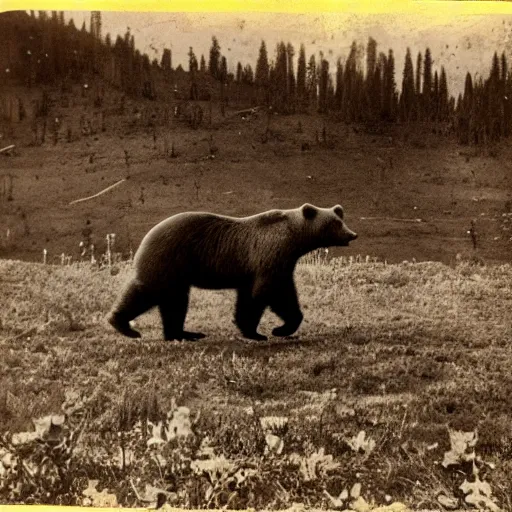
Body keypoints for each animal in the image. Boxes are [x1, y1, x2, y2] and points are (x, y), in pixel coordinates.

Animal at [107, 202, 356, 342]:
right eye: (334, 223)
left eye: (340, 219)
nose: (352, 234)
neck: (293, 239)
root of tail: (147, 235)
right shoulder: (269, 257)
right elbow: (268, 293)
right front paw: (266, 331)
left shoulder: (272, 265)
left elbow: (268, 294)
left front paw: (268, 328)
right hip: (168, 259)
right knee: (148, 291)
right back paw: (123, 325)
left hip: (175, 271)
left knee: (174, 302)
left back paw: (182, 333)